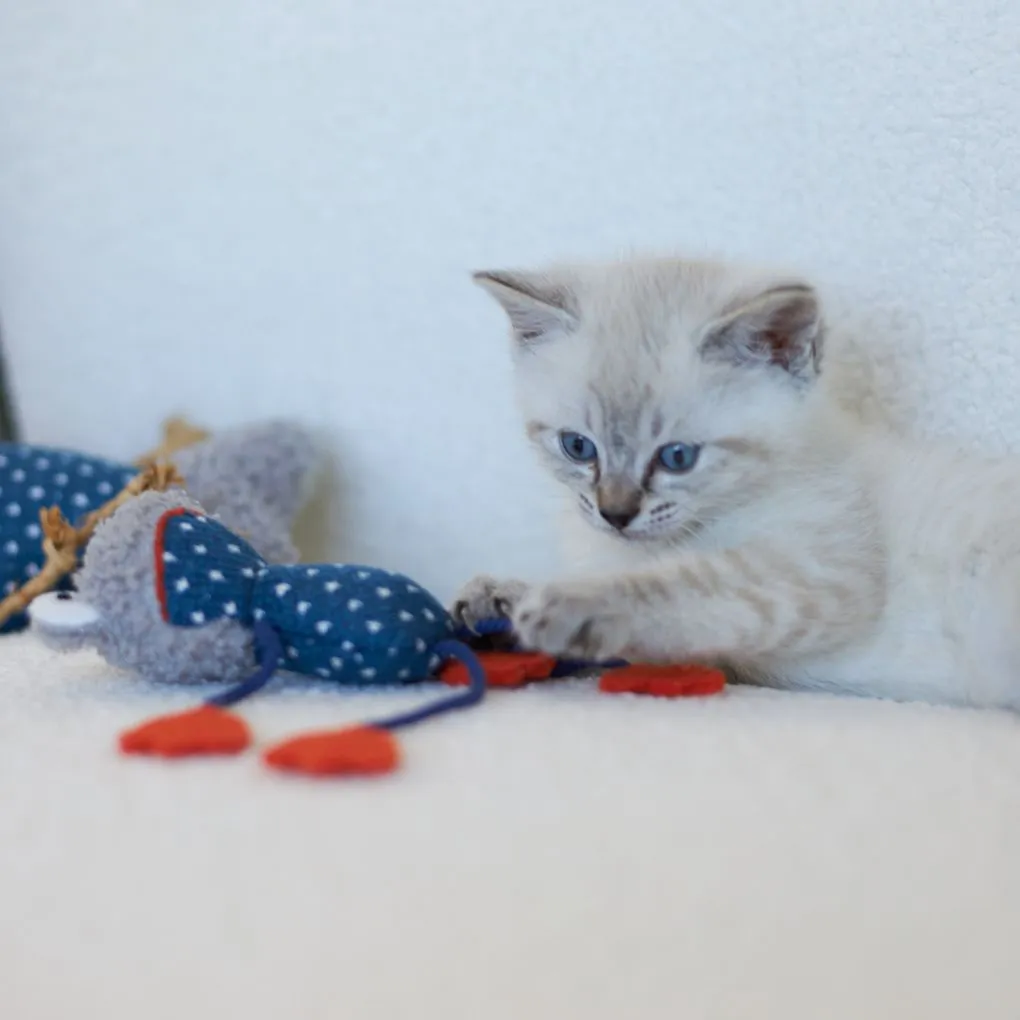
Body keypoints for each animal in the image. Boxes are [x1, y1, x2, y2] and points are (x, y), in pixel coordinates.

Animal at [459, 255, 1020, 714]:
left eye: (677, 458)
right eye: (578, 447)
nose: (615, 513)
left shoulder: (818, 572)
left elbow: (682, 586)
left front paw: (566, 606)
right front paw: (496, 600)